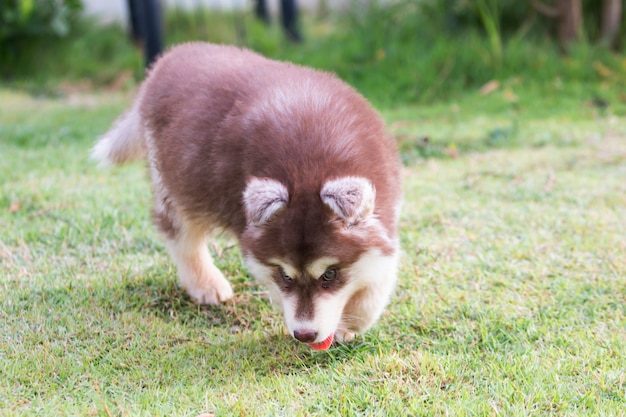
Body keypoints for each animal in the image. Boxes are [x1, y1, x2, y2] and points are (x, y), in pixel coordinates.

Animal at [95, 43, 402, 348]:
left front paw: (352, 320)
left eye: (329, 274)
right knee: (181, 236)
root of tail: (166, 59)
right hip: (177, 182)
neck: (309, 164)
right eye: (284, 274)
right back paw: (206, 284)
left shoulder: (387, 207)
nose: (304, 335)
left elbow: (379, 274)